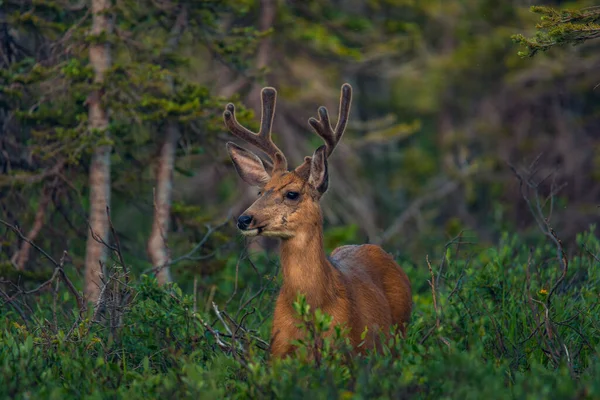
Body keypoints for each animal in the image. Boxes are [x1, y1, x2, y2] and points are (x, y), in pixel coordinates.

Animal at [221, 83, 412, 358]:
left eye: (292, 194)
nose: (244, 219)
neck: (312, 308)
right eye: (260, 191)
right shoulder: (277, 351)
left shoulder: (348, 350)